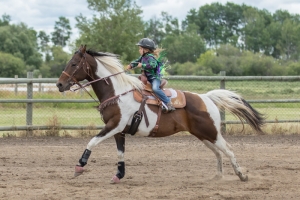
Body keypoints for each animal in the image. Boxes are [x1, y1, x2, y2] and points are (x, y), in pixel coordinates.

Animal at [56, 44, 264, 184]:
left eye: (73, 63)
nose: (59, 84)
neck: (117, 92)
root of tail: (206, 97)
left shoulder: (114, 125)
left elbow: (92, 142)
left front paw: (79, 167)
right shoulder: (119, 131)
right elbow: (120, 153)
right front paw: (118, 175)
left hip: (211, 133)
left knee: (228, 149)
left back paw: (242, 175)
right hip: (203, 135)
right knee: (218, 152)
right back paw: (218, 176)